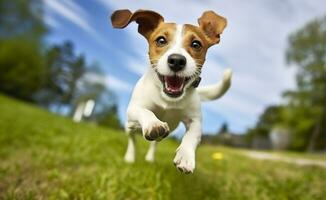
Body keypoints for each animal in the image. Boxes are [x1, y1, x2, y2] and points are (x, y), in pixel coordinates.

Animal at [111, 9, 232, 173]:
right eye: (161, 40)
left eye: (196, 44)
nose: (177, 60)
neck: (167, 98)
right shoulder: (134, 109)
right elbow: (145, 112)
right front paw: (154, 124)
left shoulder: (195, 120)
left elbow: (192, 136)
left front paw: (185, 156)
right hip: (129, 125)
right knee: (132, 139)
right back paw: (130, 157)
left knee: (155, 143)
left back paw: (150, 158)